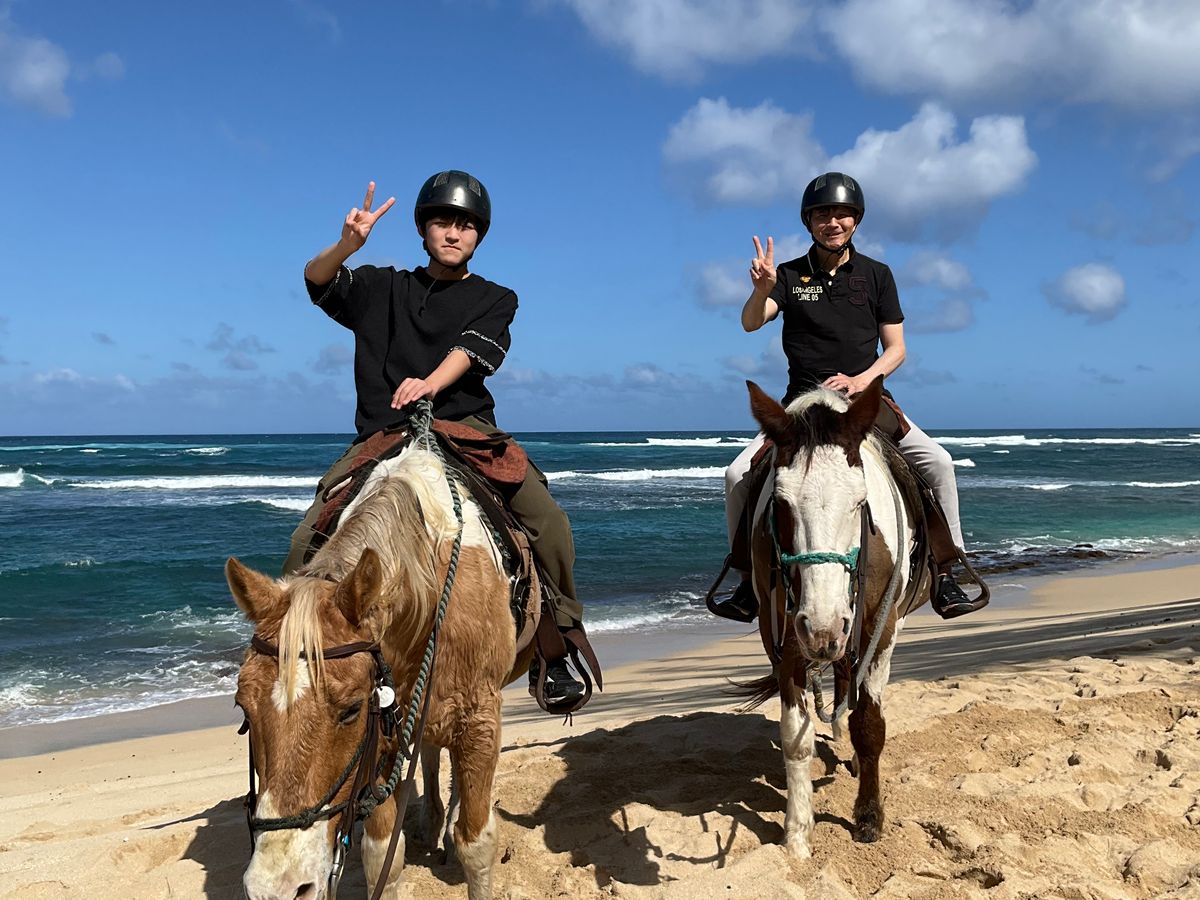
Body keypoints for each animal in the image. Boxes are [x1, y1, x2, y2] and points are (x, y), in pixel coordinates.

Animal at [226, 434, 537, 900]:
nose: (276, 889)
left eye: (352, 709)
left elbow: (476, 843)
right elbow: (381, 855)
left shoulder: (480, 717)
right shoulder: (386, 732)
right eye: (244, 707)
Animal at [736, 375, 929, 859]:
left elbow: (870, 726)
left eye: (860, 501)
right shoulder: (784, 634)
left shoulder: (881, 628)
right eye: (780, 504)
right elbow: (796, 737)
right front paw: (797, 835)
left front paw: (868, 817)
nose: (824, 628)